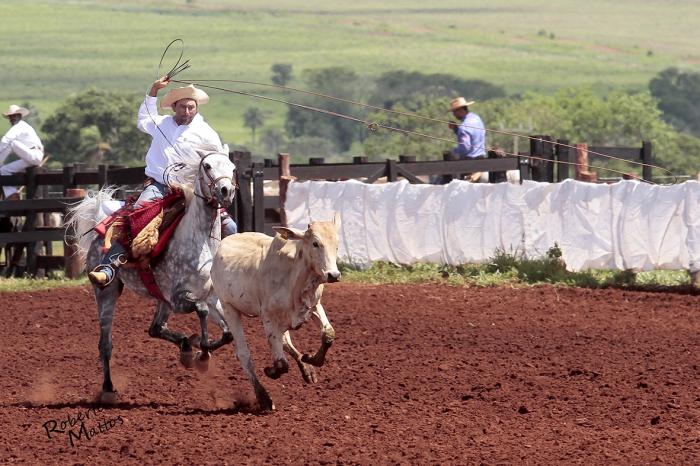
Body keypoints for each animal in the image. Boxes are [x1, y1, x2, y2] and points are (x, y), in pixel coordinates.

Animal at [65, 144, 237, 402]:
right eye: (207, 166)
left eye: (233, 168)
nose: (226, 191)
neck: (200, 240)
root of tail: (100, 228)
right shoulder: (179, 298)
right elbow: (202, 311)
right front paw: (203, 354)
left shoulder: (210, 295)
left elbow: (228, 333)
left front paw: (197, 350)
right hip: (107, 293)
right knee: (105, 344)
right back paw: (108, 389)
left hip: (160, 299)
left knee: (155, 328)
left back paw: (186, 347)